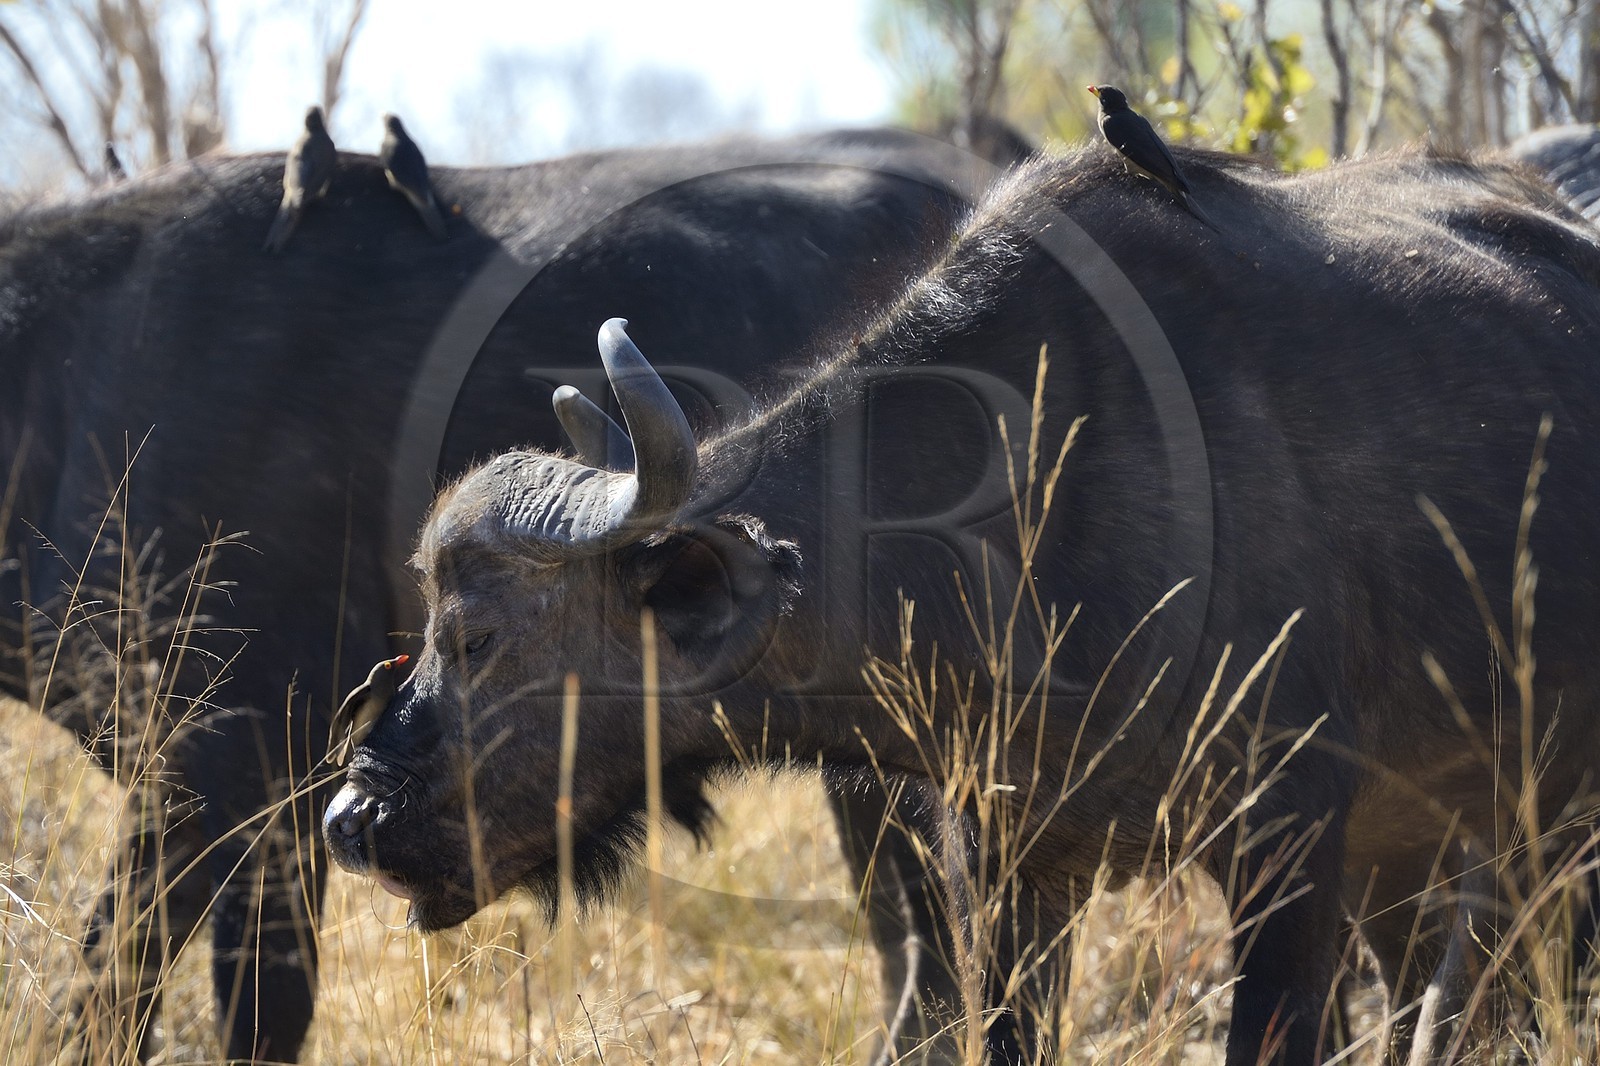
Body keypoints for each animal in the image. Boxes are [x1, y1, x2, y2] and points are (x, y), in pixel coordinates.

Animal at [0, 128, 1008, 1061]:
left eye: (477, 641)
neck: (72, 370)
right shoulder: (173, 789)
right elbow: (104, 989)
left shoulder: (254, 770)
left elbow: (258, 1008)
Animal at [327, 143, 1600, 1065]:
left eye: (476, 637)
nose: (351, 820)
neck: (1024, 513)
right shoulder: (1007, 869)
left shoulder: (1284, 849)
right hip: (1415, 844)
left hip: (1535, 822)